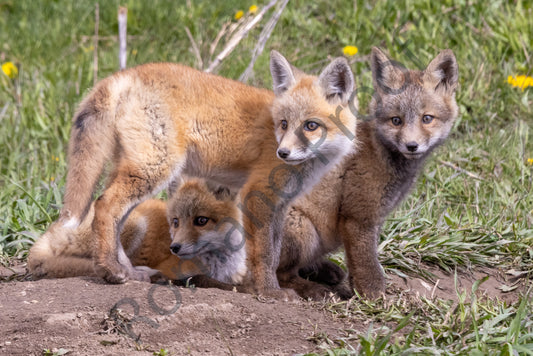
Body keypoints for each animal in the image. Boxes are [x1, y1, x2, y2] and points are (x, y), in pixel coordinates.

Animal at [41, 50, 356, 298]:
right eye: (283, 124)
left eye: (311, 126)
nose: (283, 154)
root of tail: (124, 74)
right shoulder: (258, 196)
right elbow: (265, 255)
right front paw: (269, 292)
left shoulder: (280, 204)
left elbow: (275, 251)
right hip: (154, 168)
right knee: (104, 206)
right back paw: (110, 271)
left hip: (134, 170)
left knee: (116, 218)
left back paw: (129, 271)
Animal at [278, 46, 458, 298]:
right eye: (396, 121)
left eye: (427, 119)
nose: (411, 146)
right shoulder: (358, 218)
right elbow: (367, 265)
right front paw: (374, 298)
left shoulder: (374, 218)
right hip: (303, 231)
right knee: (281, 275)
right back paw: (312, 288)